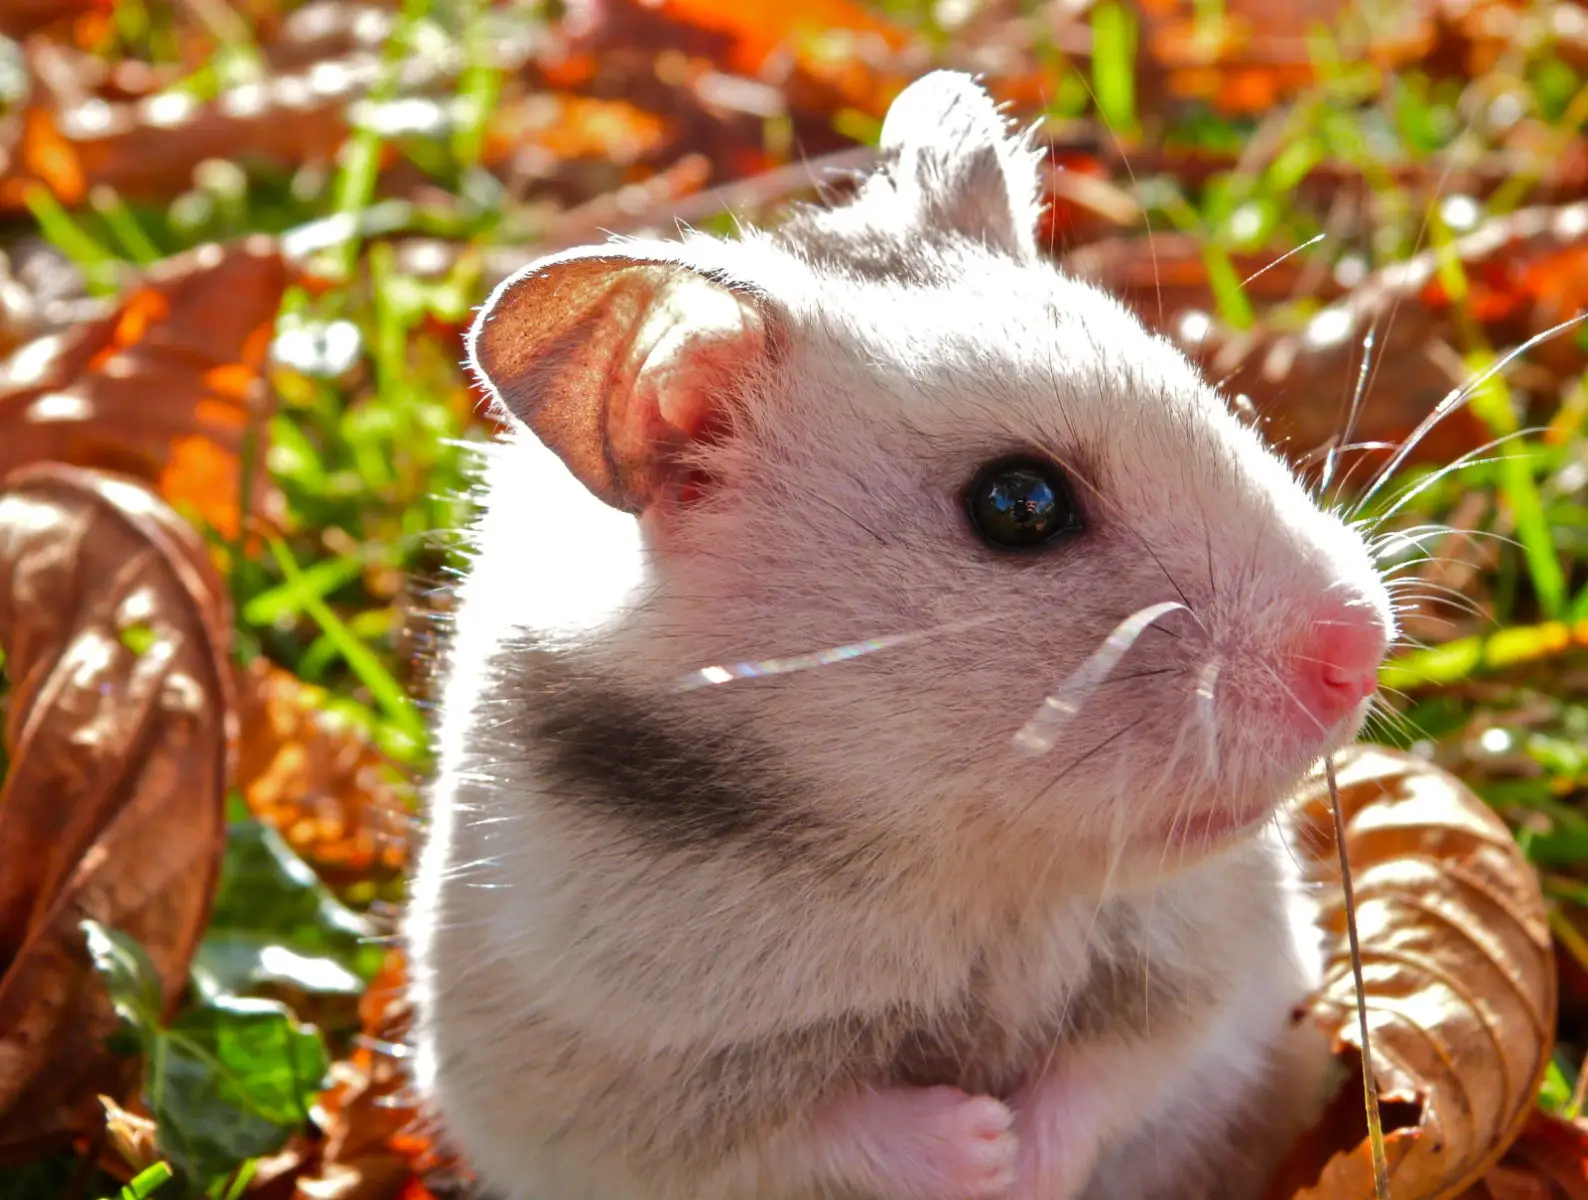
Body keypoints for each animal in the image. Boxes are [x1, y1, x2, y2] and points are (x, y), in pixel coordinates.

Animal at [405, 70, 1394, 1200]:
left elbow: (1117, 1070)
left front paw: (1022, 1162)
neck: (962, 868)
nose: (1363, 651)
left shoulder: (1217, 976)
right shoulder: (609, 1098)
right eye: (1018, 505)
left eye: (1207, 392)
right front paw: (983, 1149)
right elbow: (815, 1131)